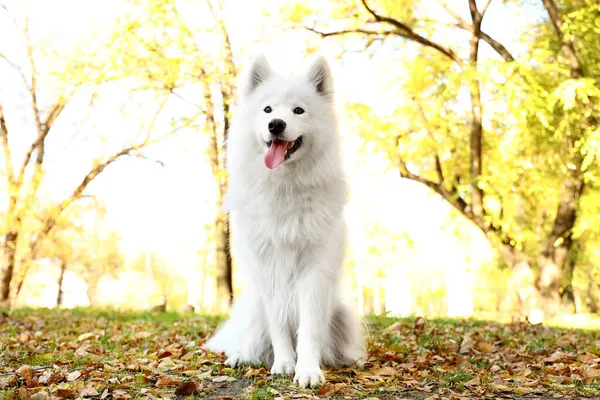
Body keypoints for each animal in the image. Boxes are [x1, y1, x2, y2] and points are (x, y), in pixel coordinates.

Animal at [203, 54, 366, 388]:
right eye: (267, 109)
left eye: (298, 111)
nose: (276, 124)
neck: (285, 187)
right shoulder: (268, 270)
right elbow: (278, 325)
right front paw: (283, 364)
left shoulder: (315, 272)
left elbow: (309, 329)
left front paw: (308, 370)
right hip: (253, 306)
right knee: (253, 340)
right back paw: (241, 356)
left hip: (341, 311)